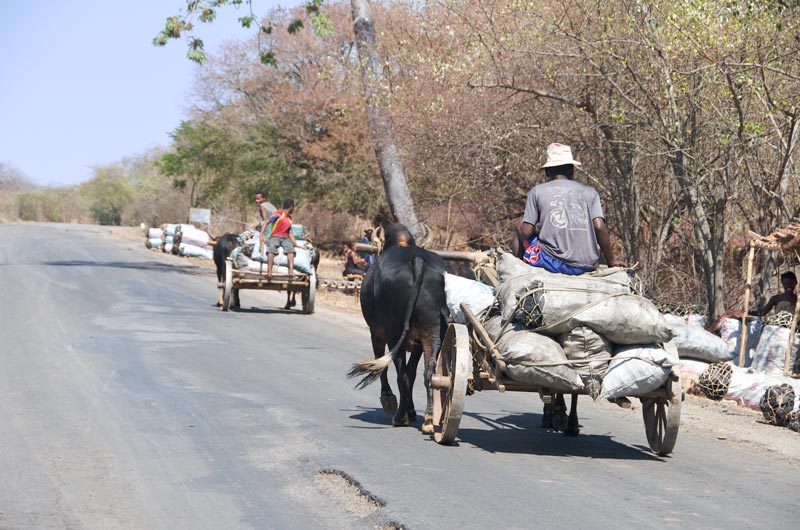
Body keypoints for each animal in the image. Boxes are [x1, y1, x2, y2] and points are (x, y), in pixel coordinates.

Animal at [347, 224, 448, 434]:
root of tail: (417, 260)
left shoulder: (376, 332)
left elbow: (383, 364)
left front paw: (389, 399)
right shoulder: (417, 344)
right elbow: (413, 372)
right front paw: (411, 410)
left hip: (393, 332)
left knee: (401, 374)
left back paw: (400, 417)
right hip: (433, 333)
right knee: (429, 373)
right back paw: (428, 420)